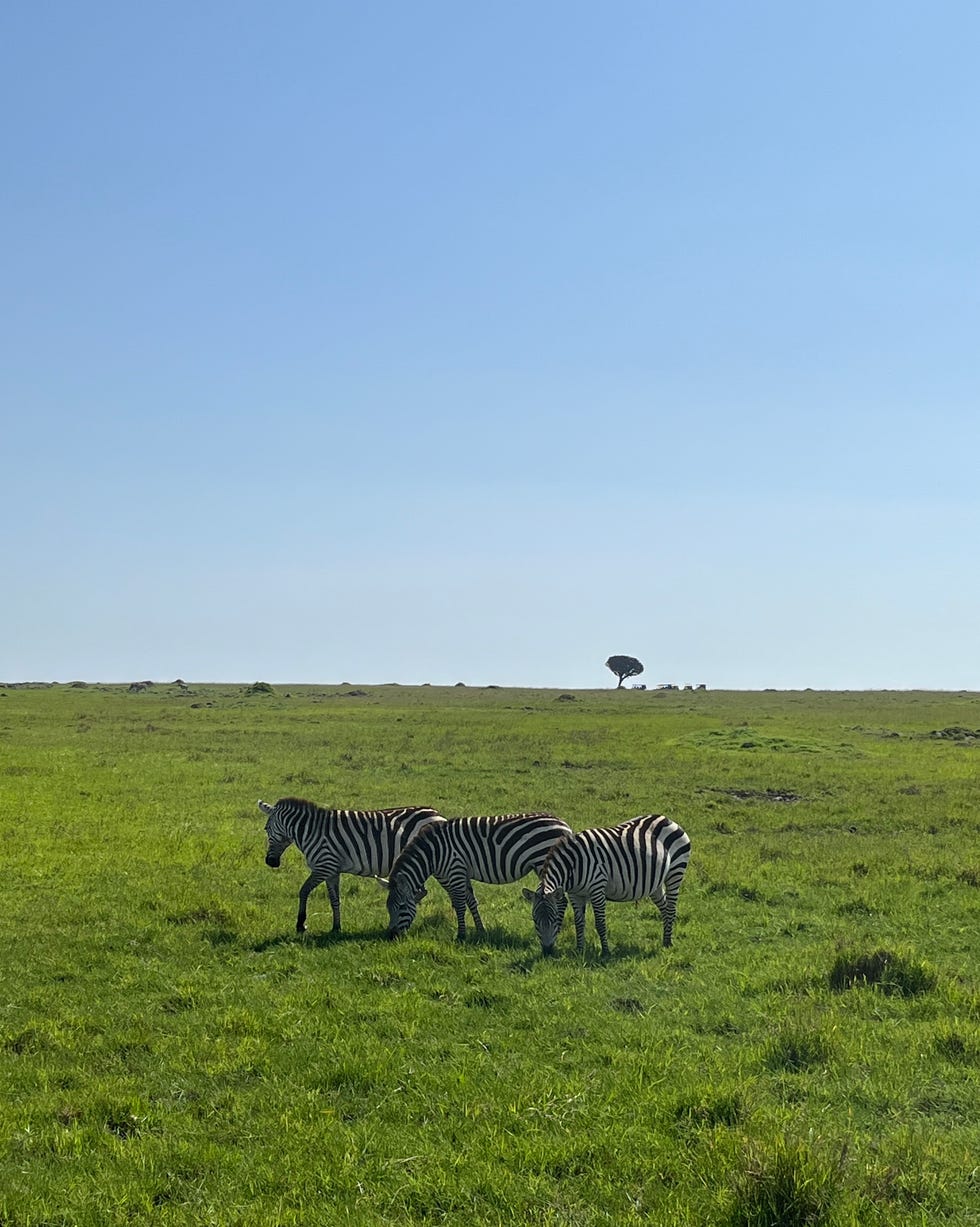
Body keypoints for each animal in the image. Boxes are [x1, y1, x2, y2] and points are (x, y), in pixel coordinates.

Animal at [257, 797, 445, 933]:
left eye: (266, 829)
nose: (270, 862)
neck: (311, 832)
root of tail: (435, 812)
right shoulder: (332, 871)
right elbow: (334, 899)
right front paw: (336, 927)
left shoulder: (323, 866)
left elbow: (303, 891)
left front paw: (301, 925)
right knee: (420, 891)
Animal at [385, 813, 573, 940]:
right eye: (388, 908)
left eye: (402, 907)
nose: (391, 936)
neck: (434, 852)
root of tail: (564, 824)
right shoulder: (463, 873)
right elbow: (471, 902)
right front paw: (480, 930)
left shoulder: (456, 870)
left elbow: (460, 904)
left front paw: (461, 935)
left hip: (544, 862)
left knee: (561, 900)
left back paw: (557, 928)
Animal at [523, 814, 691, 957]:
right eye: (534, 921)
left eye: (554, 919)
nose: (547, 952)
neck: (573, 866)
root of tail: (666, 819)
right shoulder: (575, 894)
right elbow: (579, 923)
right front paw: (579, 950)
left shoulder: (597, 888)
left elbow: (600, 923)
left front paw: (605, 952)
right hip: (655, 883)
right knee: (664, 908)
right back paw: (665, 939)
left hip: (675, 872)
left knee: (671, 908)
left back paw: (668, 943)